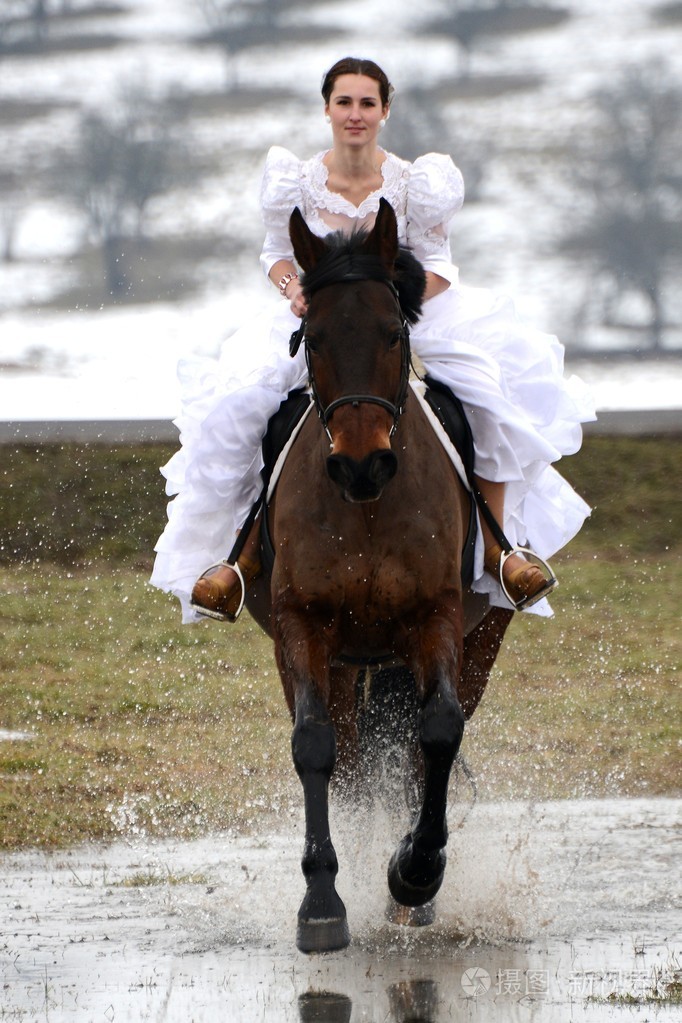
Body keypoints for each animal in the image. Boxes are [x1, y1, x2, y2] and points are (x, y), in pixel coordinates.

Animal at [246, 198, 513, 953]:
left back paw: (410, 903)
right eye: (310, 337)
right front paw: (322, 903)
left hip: (477, 640)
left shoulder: (437, 619)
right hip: (337, 660)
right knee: (352, 763)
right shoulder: (302, 627)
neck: (367, 509)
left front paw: (415, 876)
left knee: (419, 755)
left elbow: (439, 733)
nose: (362, 464)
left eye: (395, 332)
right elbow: (316, 746)